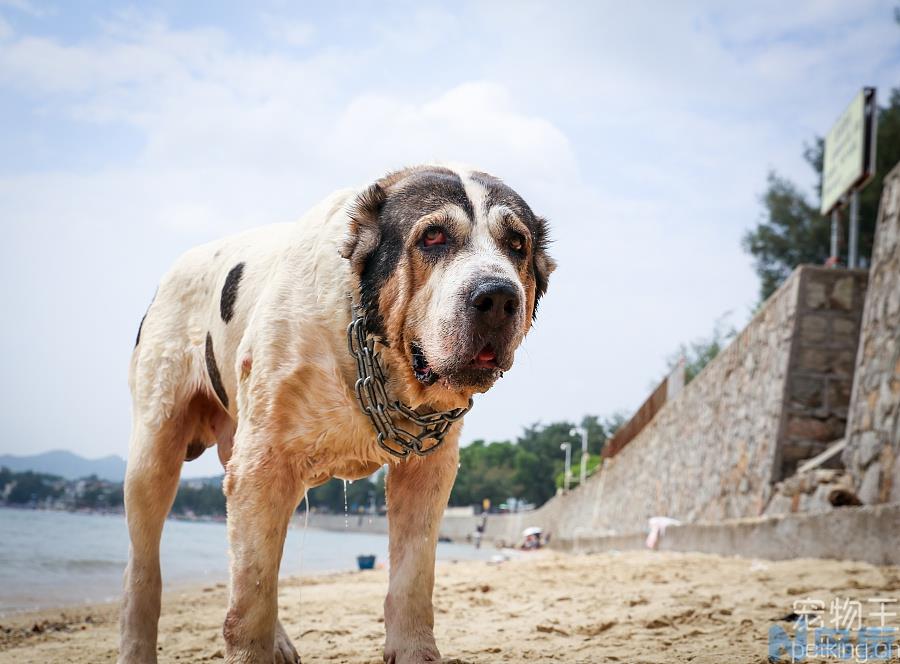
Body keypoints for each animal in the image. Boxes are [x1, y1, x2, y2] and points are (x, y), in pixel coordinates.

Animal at [119, 163, 556, 660]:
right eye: (433, 237)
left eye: (516, 244)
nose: (497, 296)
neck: (371, 349)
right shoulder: (262, 467)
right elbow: (250, 599)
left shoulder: (428, 471)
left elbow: (412, 578)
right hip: (154, 447)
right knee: (145, 570)